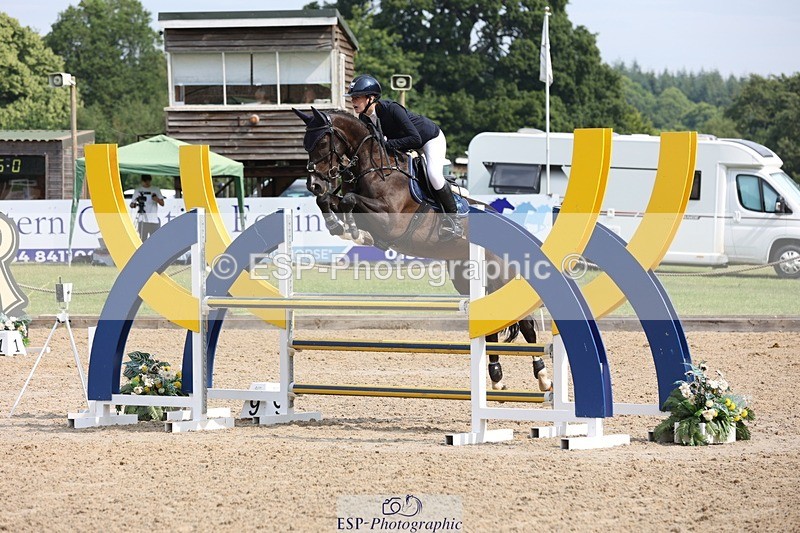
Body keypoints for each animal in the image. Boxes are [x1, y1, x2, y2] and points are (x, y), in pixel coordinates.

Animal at [293, 107, 551, 392]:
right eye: (305, 144)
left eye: (322, 143)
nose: (313, 184)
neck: (374, 167)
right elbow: (329, 200)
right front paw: (340, 226)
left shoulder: (390, 220)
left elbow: (349, 199)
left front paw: (351, 229)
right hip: (468, 277)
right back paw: (496, 376)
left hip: (502, 278)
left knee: (526, 324)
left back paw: (543, 376)